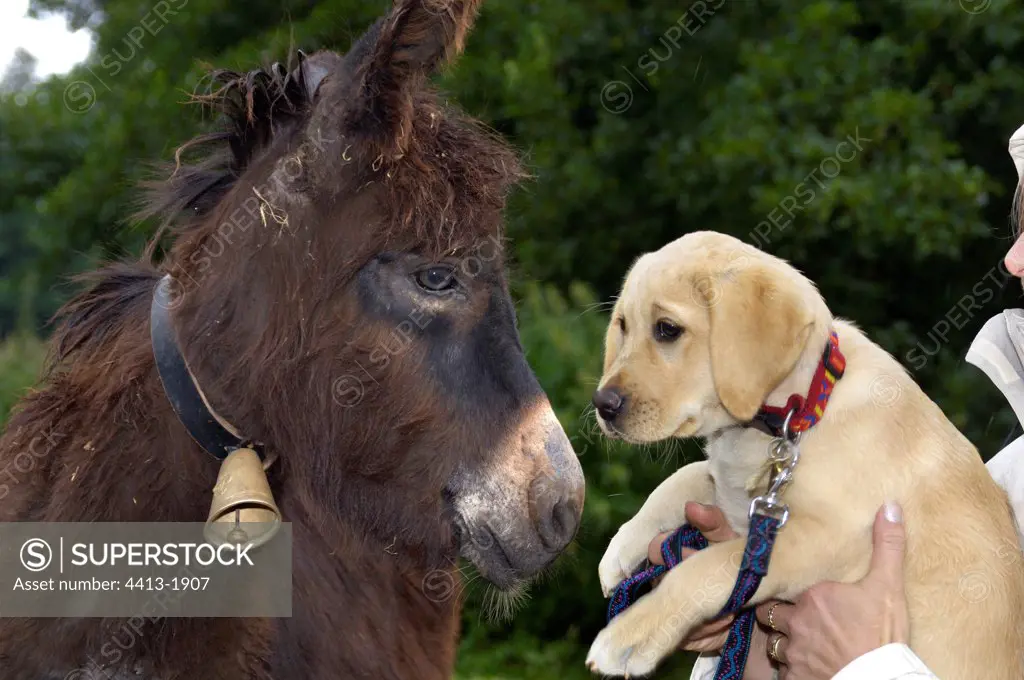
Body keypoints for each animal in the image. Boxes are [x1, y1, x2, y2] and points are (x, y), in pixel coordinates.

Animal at [589, 231, 1019, 675]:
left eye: (667, 329)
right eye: (623, 326)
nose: (601, 404)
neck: (800, 411)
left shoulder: (825, 537)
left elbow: (712, 565)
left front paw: (630, 635)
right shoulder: (742, 497)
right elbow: (688, 475)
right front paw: (623, 545)